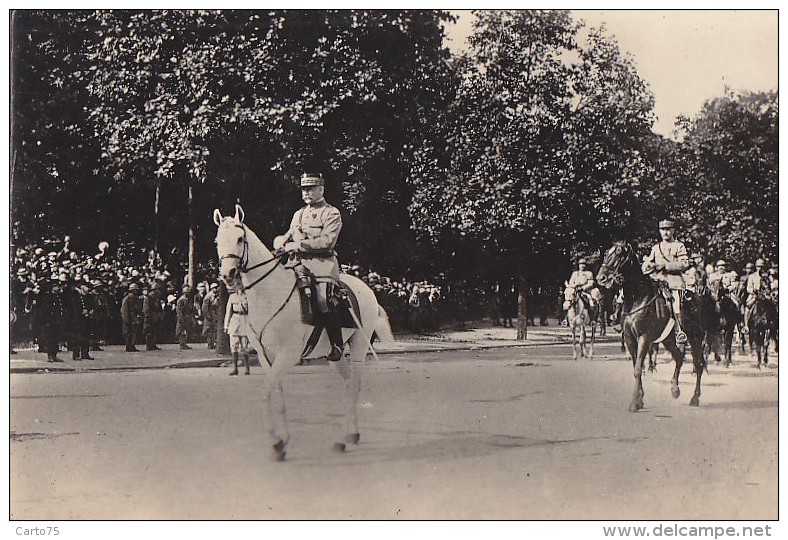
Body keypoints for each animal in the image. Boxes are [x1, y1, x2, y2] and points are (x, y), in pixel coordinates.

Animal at [212, 206, 394, 460]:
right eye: (218, 240)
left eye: (240, 239)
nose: (228, 273)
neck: (270, 293)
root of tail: (366, 288)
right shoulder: (266, 357)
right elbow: (277, 392)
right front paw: (282, 441)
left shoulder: (288, 355)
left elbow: (266, 393)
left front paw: (275, 441)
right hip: (335, 355)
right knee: (349, 384)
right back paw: (352, 433)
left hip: (359, 346)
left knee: (354, 386)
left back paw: (341, 440)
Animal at [600, 240, 704, 410]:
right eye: (607, 252)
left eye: (619, 253)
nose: (601, 277)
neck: (637, 298)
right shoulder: (629, 338)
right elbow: (636, 366)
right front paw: (640, 399)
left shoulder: (644, 338)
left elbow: (637, 369)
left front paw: (634, 402)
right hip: (668, 340)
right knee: (679, 357)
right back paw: (675, 390)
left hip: (696, 339)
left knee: (699, 364)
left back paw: (695, 398)